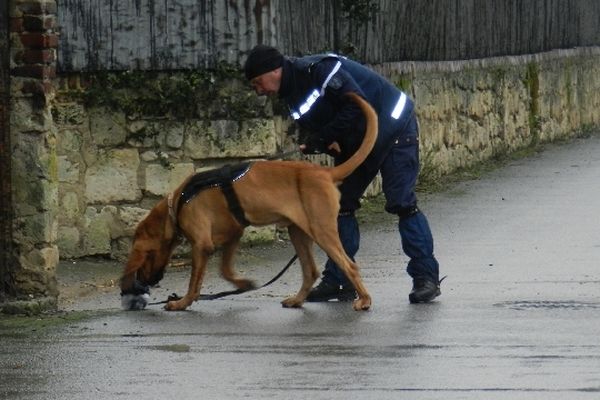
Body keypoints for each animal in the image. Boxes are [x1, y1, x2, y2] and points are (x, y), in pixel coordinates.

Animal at [119, 94, 378, 312]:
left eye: (143, 261)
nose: (143, 285)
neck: (178, 203)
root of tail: (325, 172)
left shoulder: (202, 245)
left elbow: (195, 282)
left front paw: (182, 302)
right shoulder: (233, 235)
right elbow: (225, 270)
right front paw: (243, 283)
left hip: (321, 230)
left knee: (349, 265)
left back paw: (364, 300)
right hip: (298, 232)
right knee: (310, 271)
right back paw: (297, 300)